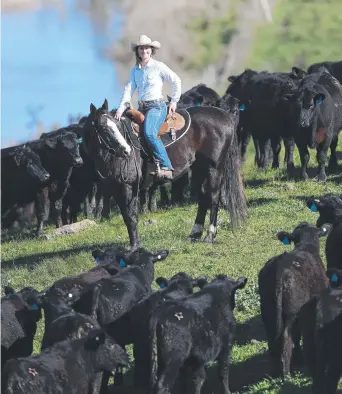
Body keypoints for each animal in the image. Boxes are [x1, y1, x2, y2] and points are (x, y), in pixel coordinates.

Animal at [81, 98, 247, 248]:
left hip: (214, 167)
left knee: (213, 196)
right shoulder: (115, 189)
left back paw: (210, 235)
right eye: (103, 127)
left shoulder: (128, 186)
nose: (126, 150)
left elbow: (131, 216)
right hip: (199, 168)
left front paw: (135, 246)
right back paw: (195, 234)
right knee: (203, 197)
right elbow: (126, 216)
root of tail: (225, 116)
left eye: (117, 126)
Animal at [260, 222, 328, 378]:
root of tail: (281, 265)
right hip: (292, 312)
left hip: (268, 312)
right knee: (287, 337)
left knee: (273, 340)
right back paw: (286, 375)